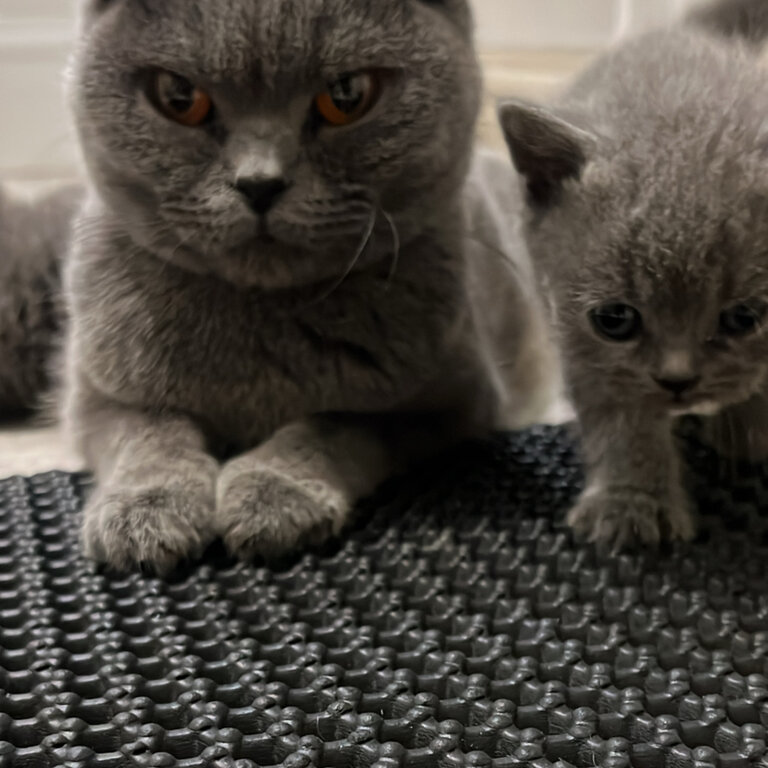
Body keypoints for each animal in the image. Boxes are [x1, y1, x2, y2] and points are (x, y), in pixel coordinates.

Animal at [63, 0, 556, 568]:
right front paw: (146, 510)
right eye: (179, 97)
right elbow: (147, 429)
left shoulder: (456, 401)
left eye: (347, 96)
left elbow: (339, 422)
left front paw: (276, 491)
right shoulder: (92, 391)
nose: (259, 184)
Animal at [498, 0, 768, 552]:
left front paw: (749, 429)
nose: (678, 381)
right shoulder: (580, 340)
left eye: (744, 318)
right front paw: (632, 504)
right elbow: (623, 416)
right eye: (615, 320)